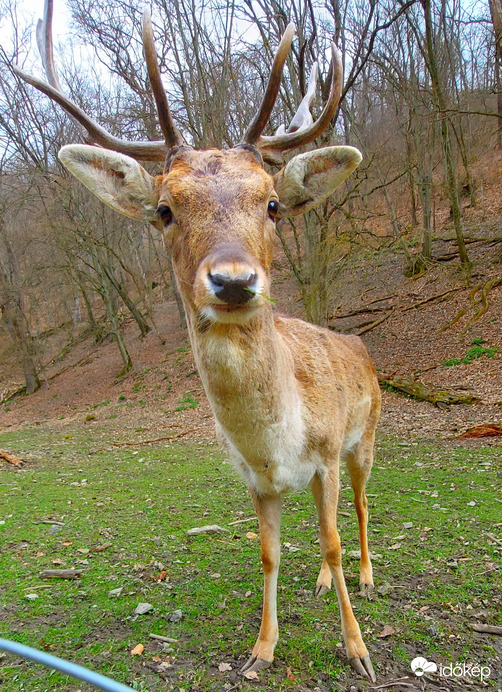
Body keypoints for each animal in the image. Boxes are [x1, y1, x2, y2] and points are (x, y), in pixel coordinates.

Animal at [15, 0, 380, 680]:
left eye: (272, 204)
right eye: (164, 209)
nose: (233, 280)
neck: (277, 439)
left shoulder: (323, 454)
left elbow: (335, 542)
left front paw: (357, 649)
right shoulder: (256, 480)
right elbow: (270, 555)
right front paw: (260, 650)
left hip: (364, 439)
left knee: (363, 508)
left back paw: (369, 578)